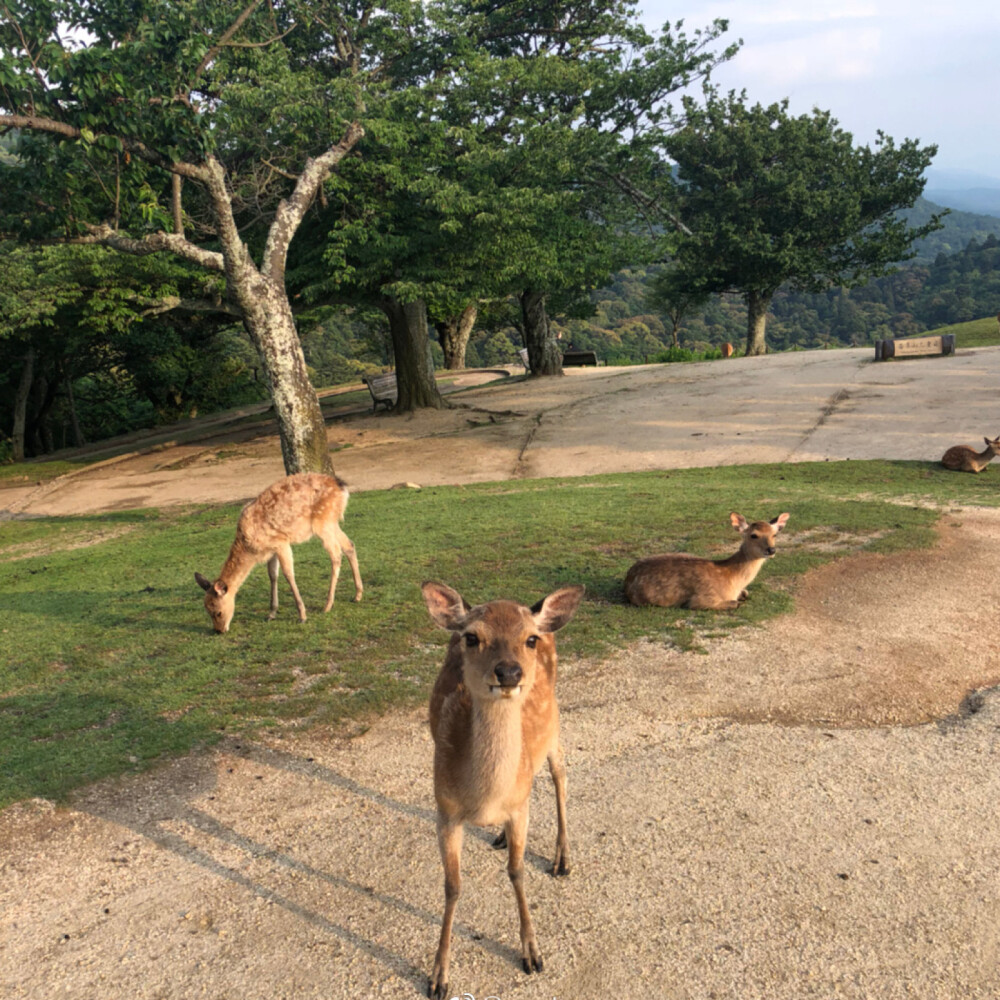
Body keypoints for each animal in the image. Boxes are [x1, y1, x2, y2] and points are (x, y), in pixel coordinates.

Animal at [193, 470, 362, 632]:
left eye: (218, 612)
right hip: (332, 522)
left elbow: (288, 574)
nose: (219, 631)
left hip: (322, 522)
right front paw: (271, 613)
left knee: (336, 554)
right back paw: (357, 595)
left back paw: (327, 605)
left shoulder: (281, 542)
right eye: (207, 611)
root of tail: (341, 486)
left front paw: (302, 615)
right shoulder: (271, 550)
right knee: (349, 545)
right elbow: (273, 576)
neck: (251, 550)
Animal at [418, 580, 584, 1000]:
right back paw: (502, 837)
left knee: (560, 774)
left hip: (555, 723)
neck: (485, 799)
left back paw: (561, 859)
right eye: (472, 637)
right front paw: (438, 976)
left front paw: (532, 954)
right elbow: (452, 886)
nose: (508, 672)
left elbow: (517, 872)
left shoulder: (520, 807)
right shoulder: (444, 811)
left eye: (529, 639)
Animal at [624, 512, 788, 612]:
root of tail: (627, 577)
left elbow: (746, 593)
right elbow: (735, 603)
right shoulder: (701, 599)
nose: (771, 550)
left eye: (774, 534)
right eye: (753, 535)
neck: (732, 581)